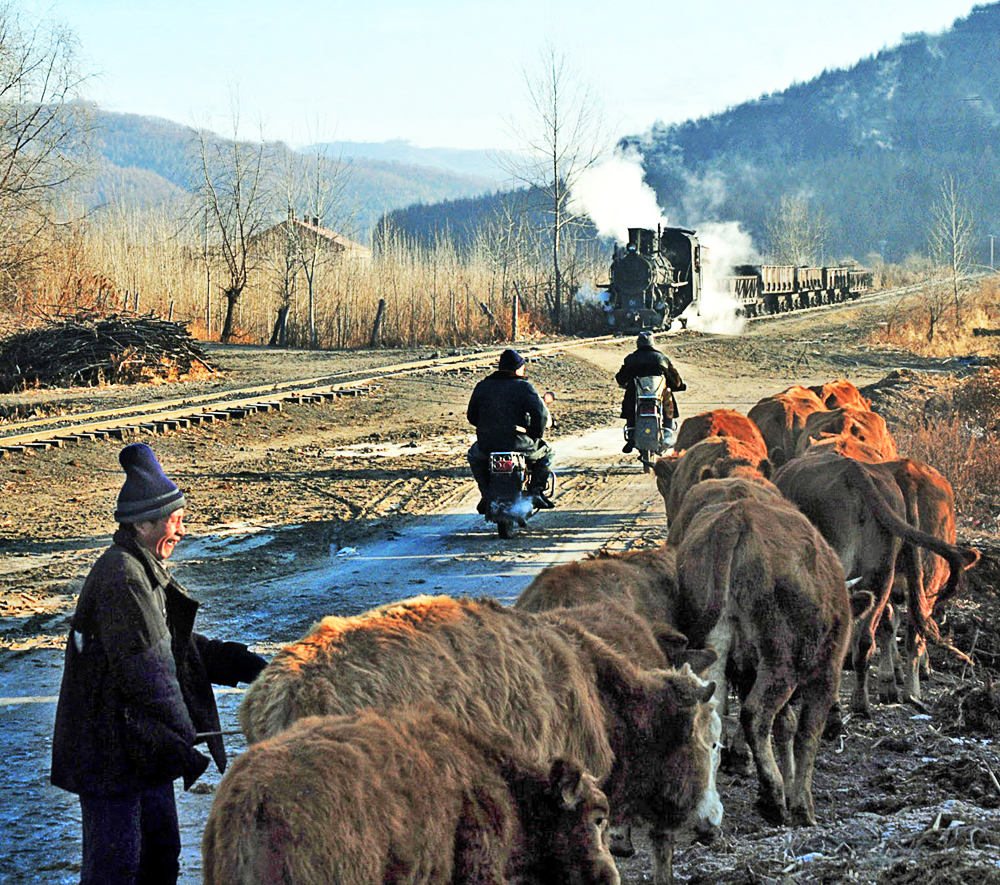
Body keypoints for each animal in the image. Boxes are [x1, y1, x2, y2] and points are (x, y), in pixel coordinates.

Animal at [672, 500, 852, 824]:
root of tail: (737, 516)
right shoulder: (825, 677)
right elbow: (806, 734)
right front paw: (802, 806)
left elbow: (785, 727)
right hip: (780, 662)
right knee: (756, 715)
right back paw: (774, 800)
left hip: (718, 644)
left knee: (714, 713)